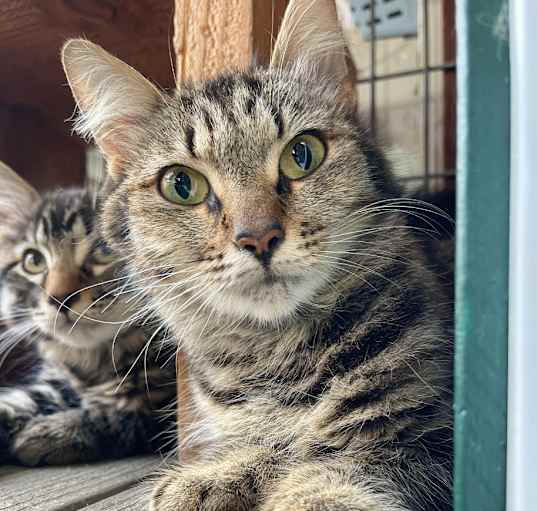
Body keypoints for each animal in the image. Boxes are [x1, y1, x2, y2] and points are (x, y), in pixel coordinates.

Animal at [0, 162, 175, 466]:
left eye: (104, 250)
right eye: (33, 261)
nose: (59, 297)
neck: (96, 362)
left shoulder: (166, 409)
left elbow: (118, 416)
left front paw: (51, 431)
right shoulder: (59, 383)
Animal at [63, 0, 452, 510]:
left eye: (302, 154)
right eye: (182, 185)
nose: (259, 238)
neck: (276, 358)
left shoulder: (434, 439)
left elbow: (340, 464)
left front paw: (305, 492)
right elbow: (263, 445)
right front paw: (210, 474)